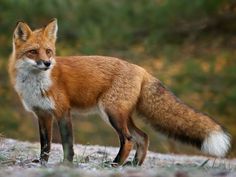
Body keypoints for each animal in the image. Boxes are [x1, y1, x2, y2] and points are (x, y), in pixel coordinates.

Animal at [8, 19, 230, 166]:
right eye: (33, 52)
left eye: (49, 51)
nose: (47, 63)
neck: (36, 84)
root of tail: (142, 69)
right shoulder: (42, 114)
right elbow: (45, 145)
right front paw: (41, 164)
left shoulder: (63, 111)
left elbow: (67, 144)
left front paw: (66, 165)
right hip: (120, 115)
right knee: (143, 137)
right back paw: (134, 165)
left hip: (112, 113)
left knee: (129, 139)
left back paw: (115, 164)